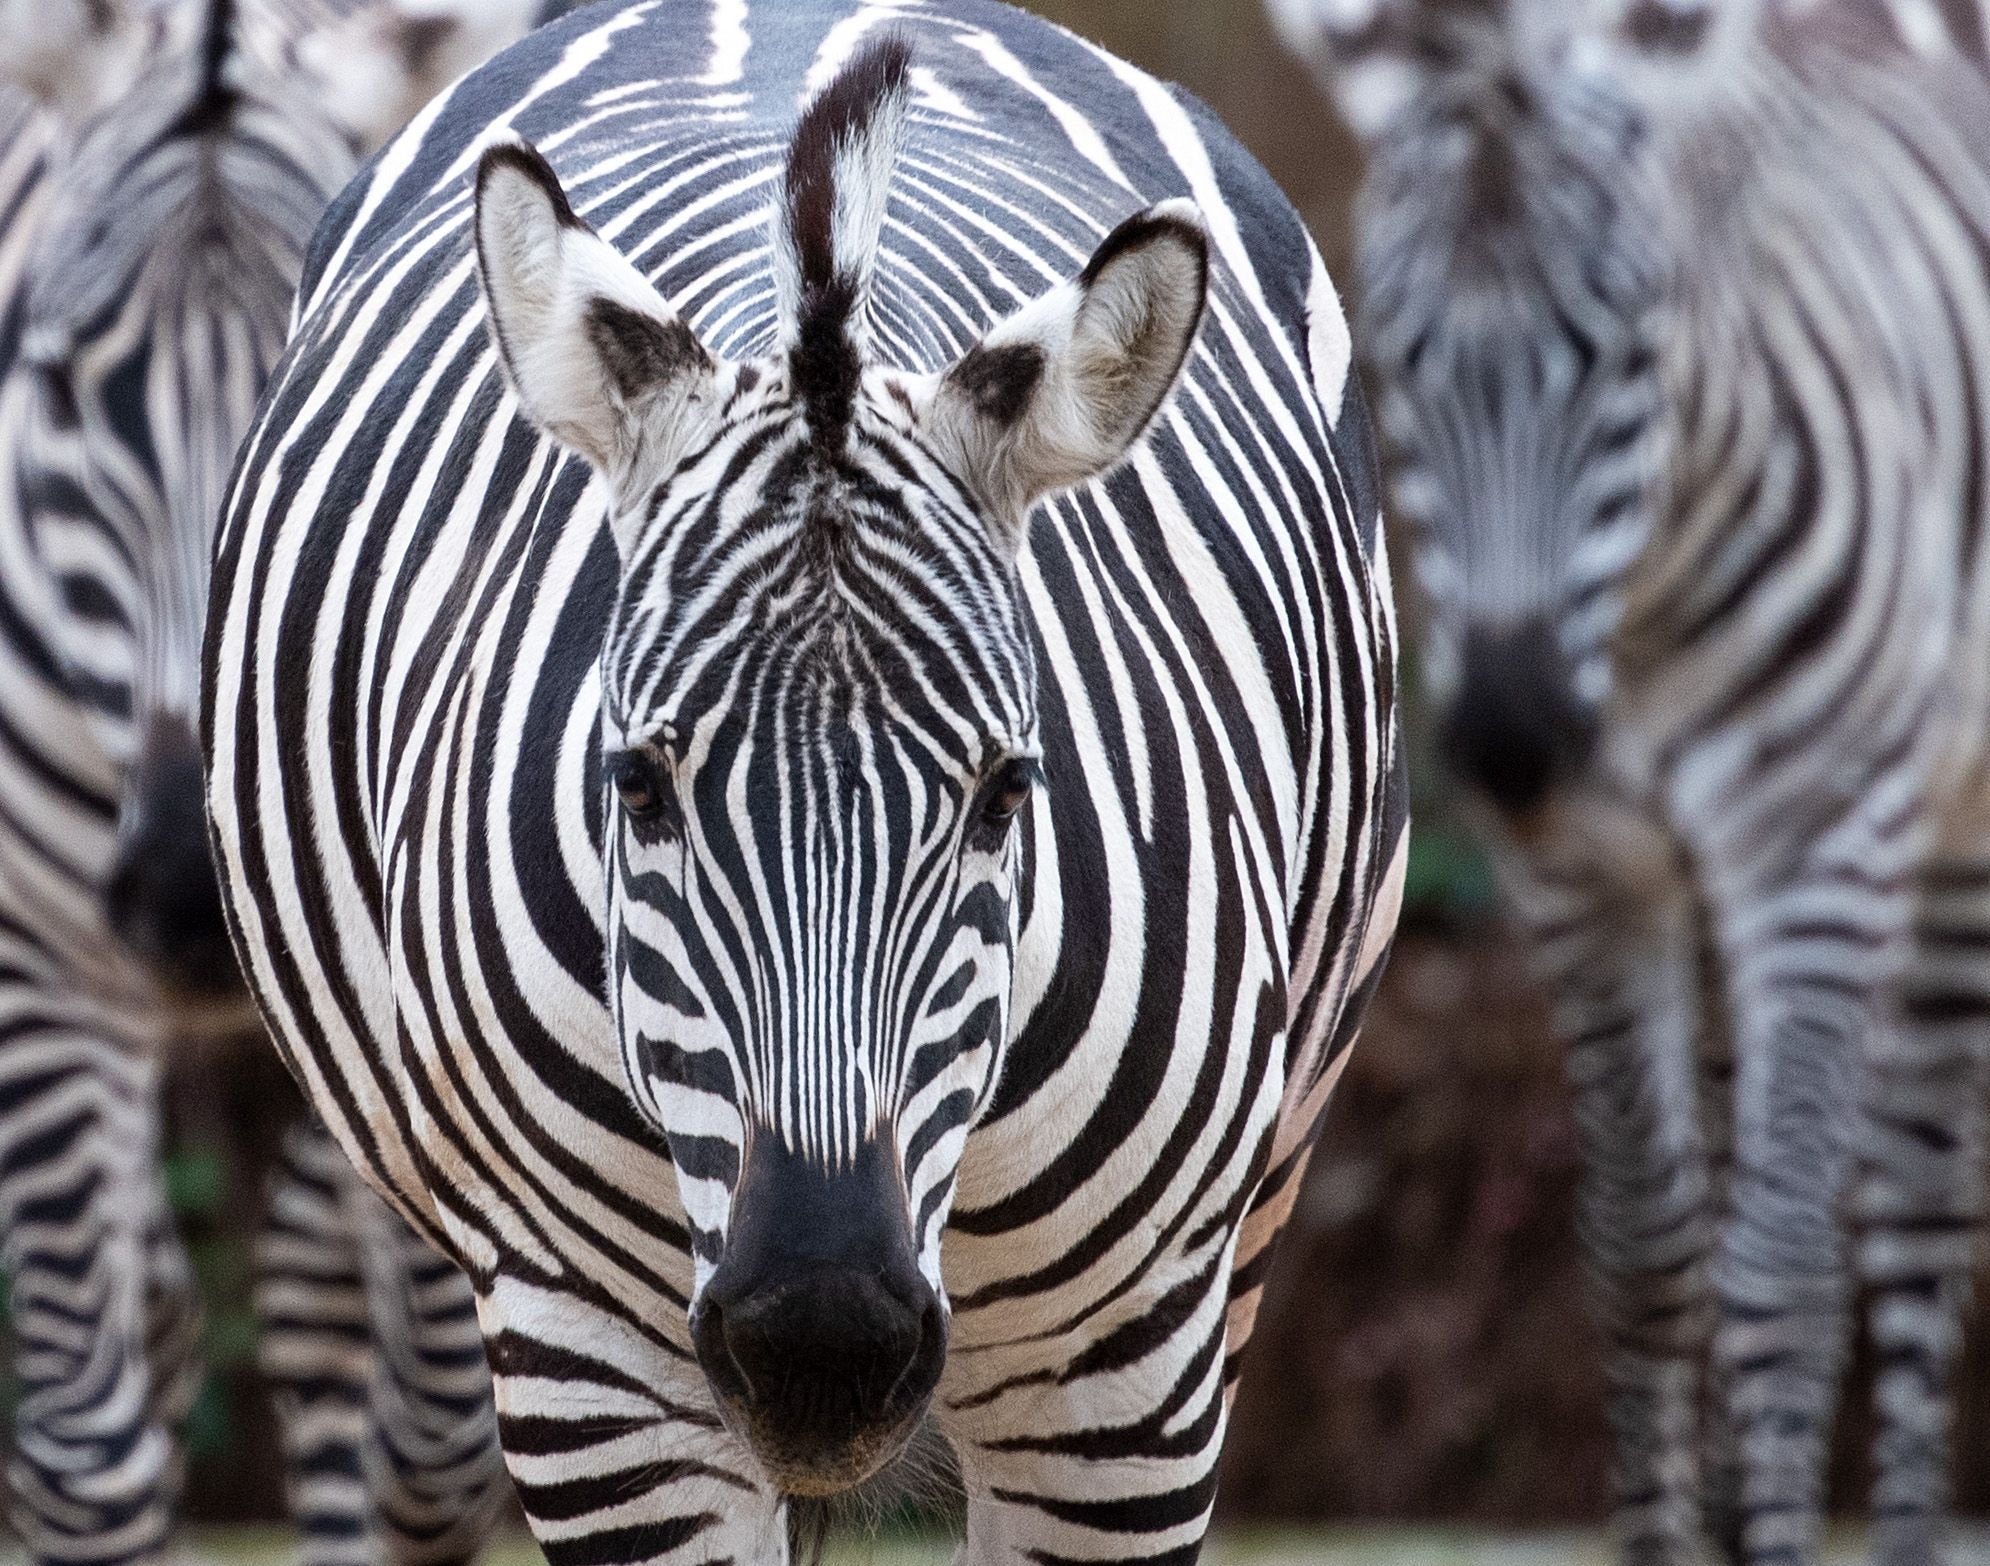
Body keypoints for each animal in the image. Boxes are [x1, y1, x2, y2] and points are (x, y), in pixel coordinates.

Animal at [0, 3, 569, 1566]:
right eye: (60, 388)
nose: (192, 903)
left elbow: (431, 1438)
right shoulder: (41, 964)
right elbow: (89, 1455)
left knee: (317, 1319)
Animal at [1273, 3, 1990, 1566]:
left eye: (1620, 349)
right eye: (1399, 359)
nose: (1511, 740)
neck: (1641, 624)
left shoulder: (1811, 856)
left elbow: (1777, 1273)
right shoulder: (1583, 880)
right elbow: (1650, 1261)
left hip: (1946, 830)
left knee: (1911, 1215)